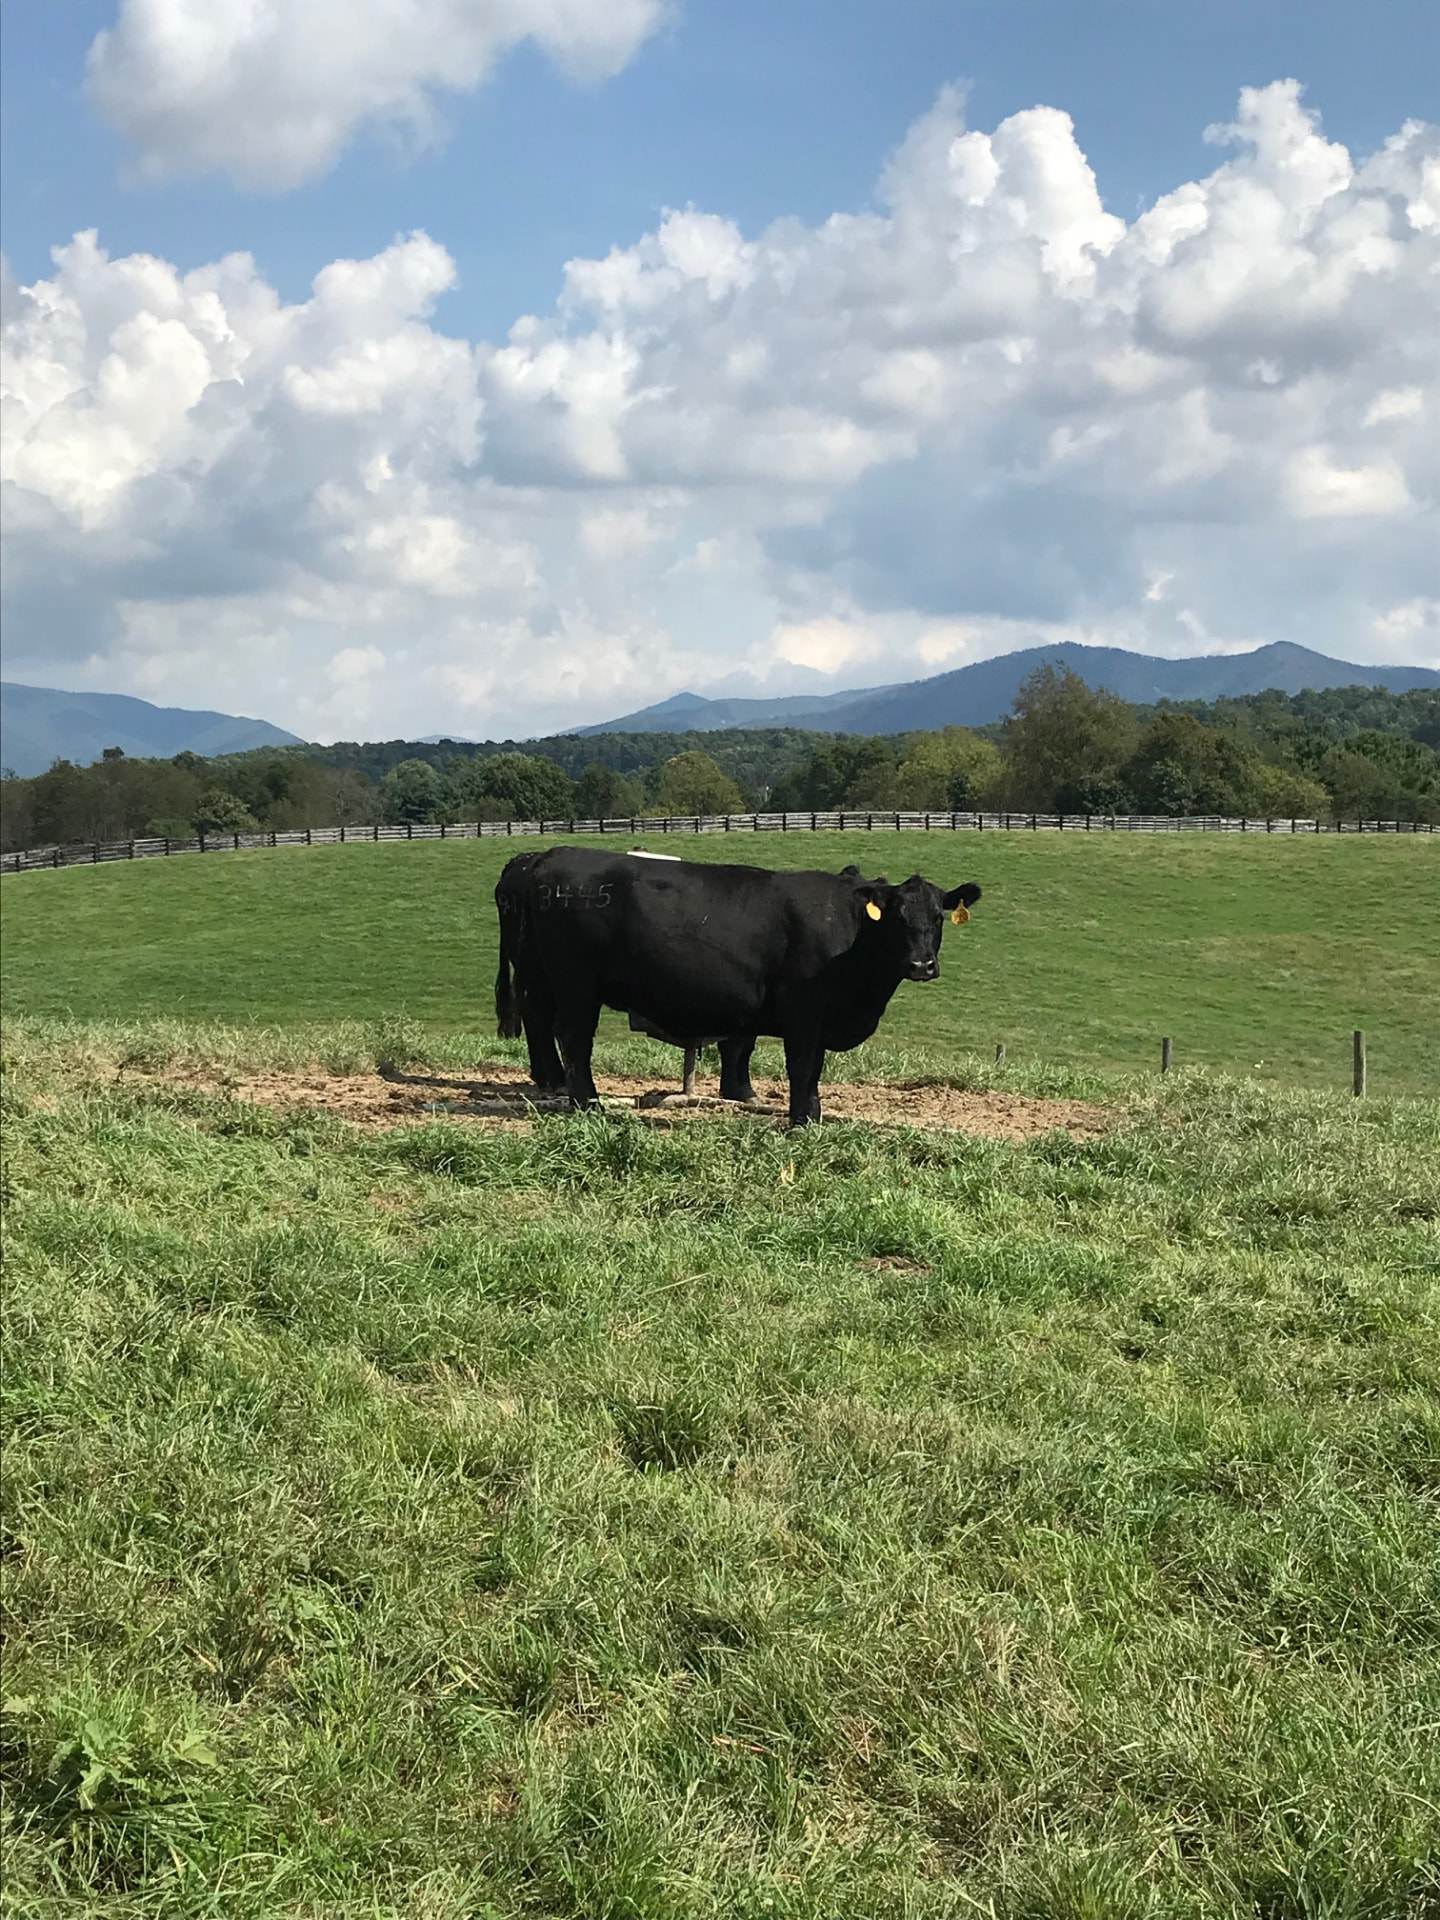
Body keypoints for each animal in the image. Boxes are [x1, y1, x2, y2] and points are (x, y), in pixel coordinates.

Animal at [494, 847, 981, 1126]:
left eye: (938, 917)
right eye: (898, 917)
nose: (922, 964)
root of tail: (546, 859)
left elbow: (812, 1069)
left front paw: (814, 1115)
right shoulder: (804, 1012)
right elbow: (801, 1066)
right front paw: (800, 1121)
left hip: (542, 975)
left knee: (541, 1021)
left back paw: (555, 1084)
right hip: (576, 984)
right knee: (574, 1037)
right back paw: (587, 1103)